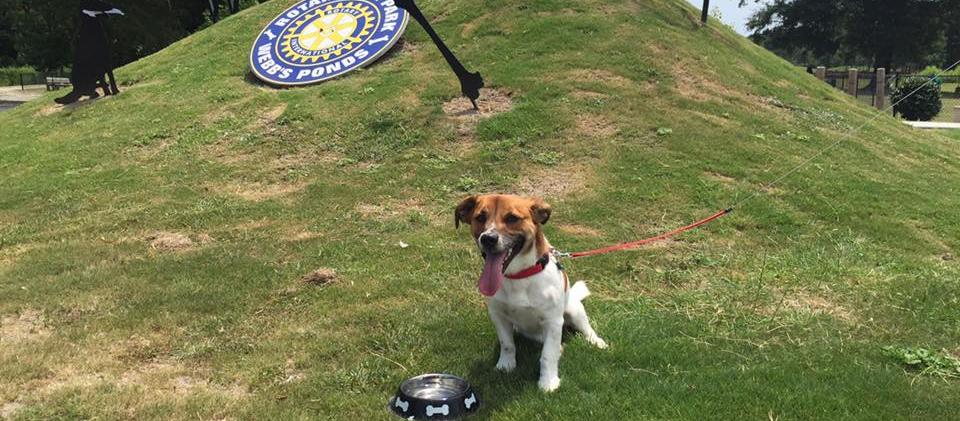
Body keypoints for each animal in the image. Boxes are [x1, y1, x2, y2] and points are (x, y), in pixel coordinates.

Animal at [456, 194, 607, 392]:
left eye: (512, 218)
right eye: (480, 217)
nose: (488, 238)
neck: (519, 276)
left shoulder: (553, 321)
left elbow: (548, 355)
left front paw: (548, 382)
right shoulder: (498, 315)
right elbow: (507, 344)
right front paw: (506, 366)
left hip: (574, 310)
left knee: (586, 329)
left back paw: (596, 342)